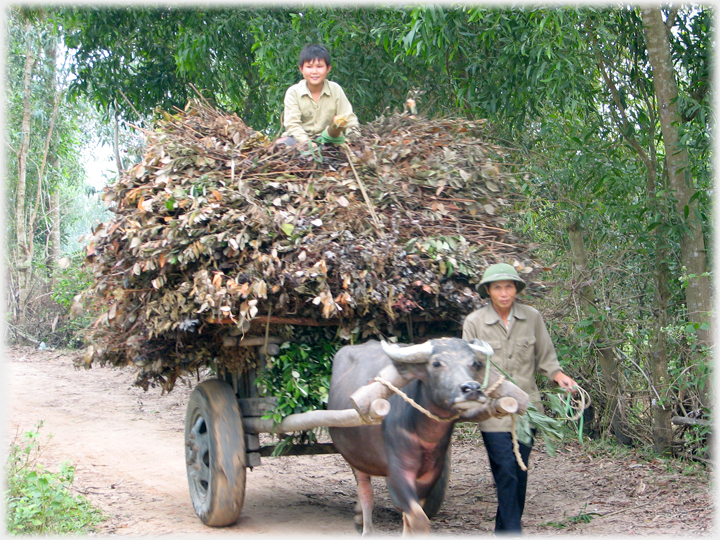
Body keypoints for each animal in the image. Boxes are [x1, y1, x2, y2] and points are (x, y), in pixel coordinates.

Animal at [330, 338, 524, 536]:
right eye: (436, 363)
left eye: (474, 363)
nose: (471, 389)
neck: (424, 435)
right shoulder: (398, 472)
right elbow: (418, 520)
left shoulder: (430, 474)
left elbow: (410, 518)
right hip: (355, 458)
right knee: (366, 492)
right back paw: (365, 527)